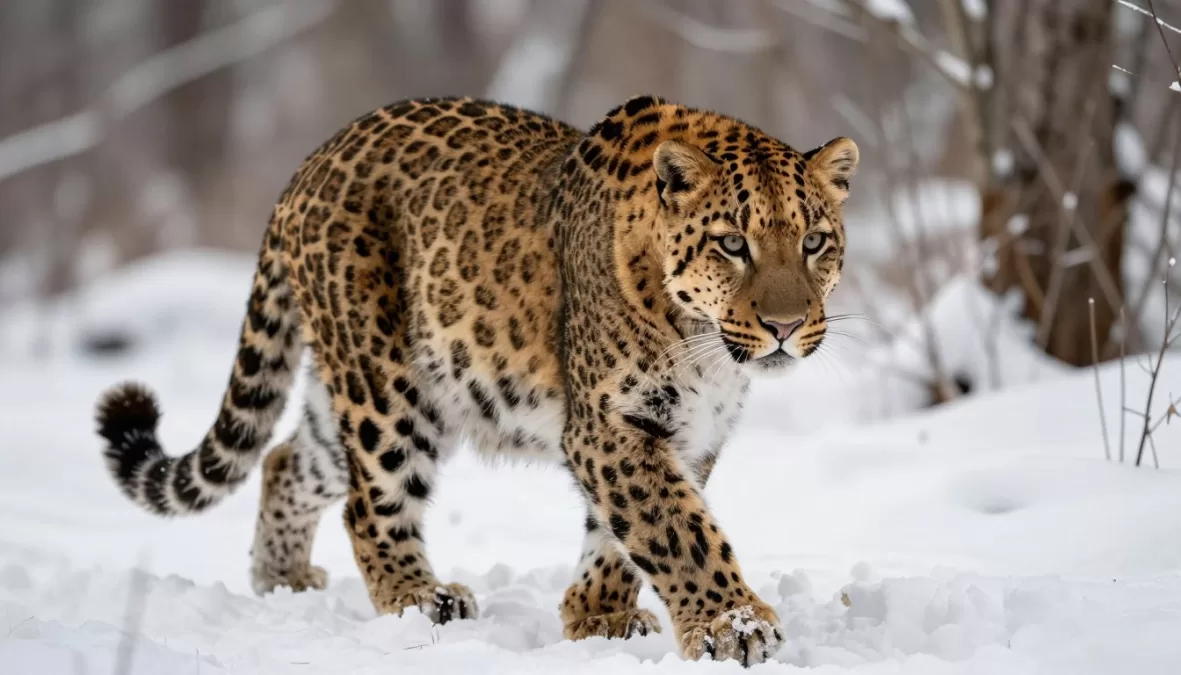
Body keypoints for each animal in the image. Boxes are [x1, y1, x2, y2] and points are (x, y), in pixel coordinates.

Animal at [93, 94, 858, 666]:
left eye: (814, 242)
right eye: (732, 244)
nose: (786, 325)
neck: (705, 351)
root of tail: (308, 166)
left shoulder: (687, 432)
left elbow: (624, 531)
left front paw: (597, 615)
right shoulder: (612, 424)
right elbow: (675, 528)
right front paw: (734, 627)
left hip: (354, 396)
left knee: (287, 459)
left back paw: (281, 581)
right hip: (387, 387)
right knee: (370, 502)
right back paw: (418, 601)